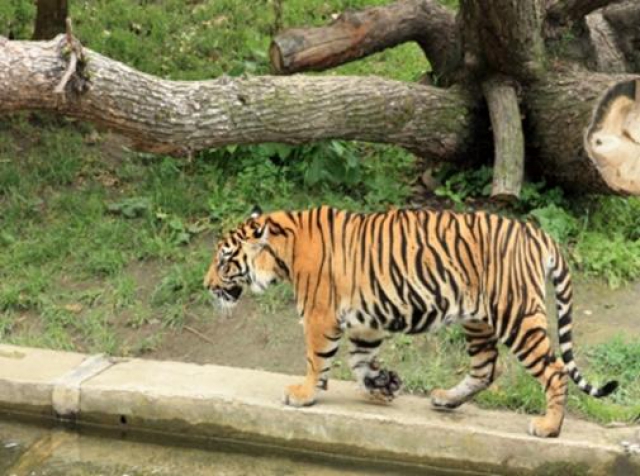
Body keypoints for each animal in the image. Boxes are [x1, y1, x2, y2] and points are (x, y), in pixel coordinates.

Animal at [204, 205, 618, 438]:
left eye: (224, 261)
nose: (206, 285)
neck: (283, 252)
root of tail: (537, 232)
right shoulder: (364, 320)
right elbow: (359, 360)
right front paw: (383, 385)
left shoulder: (320, 315)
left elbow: (316, 359)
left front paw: (303, 394)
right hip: (478, 320)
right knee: (486, 368)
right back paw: (446, 399)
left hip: (514, 314)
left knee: (555, 370)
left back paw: (548, 427)